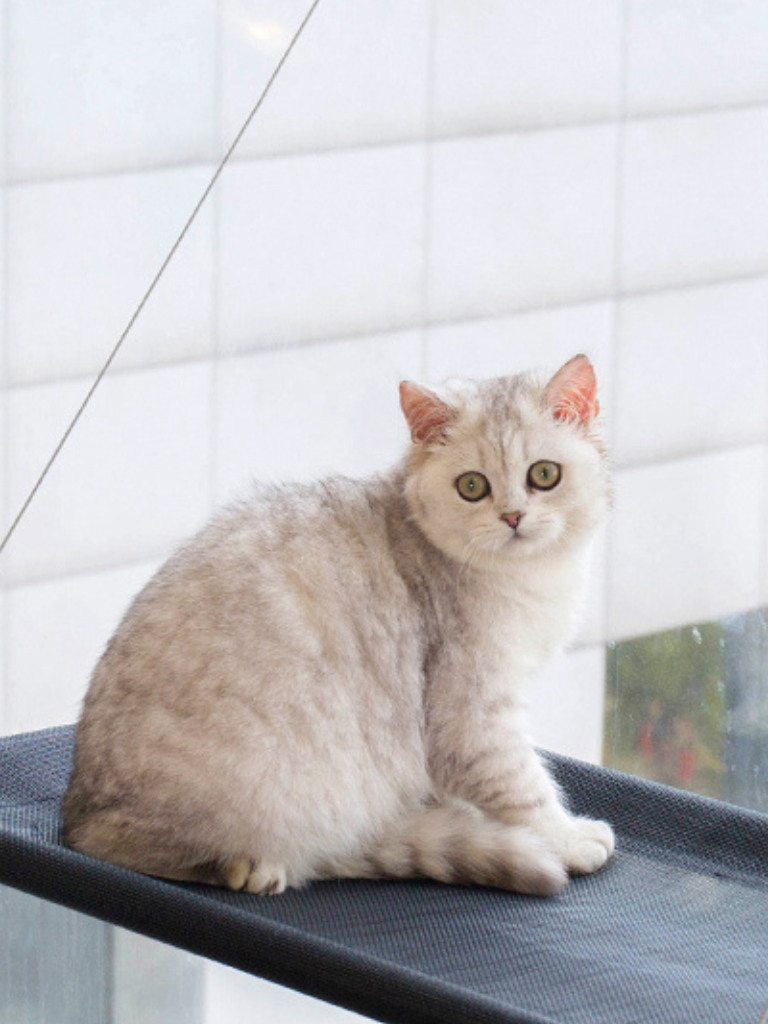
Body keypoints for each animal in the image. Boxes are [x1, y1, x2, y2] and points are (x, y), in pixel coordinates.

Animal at [63, 352, 618, 897]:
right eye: (472, 486)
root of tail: (77, 818)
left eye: (543, 475)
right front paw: (568, 840)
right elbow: (523, 789)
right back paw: (248, 867)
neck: (530, 577)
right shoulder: (474, 714)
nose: (512, 517)